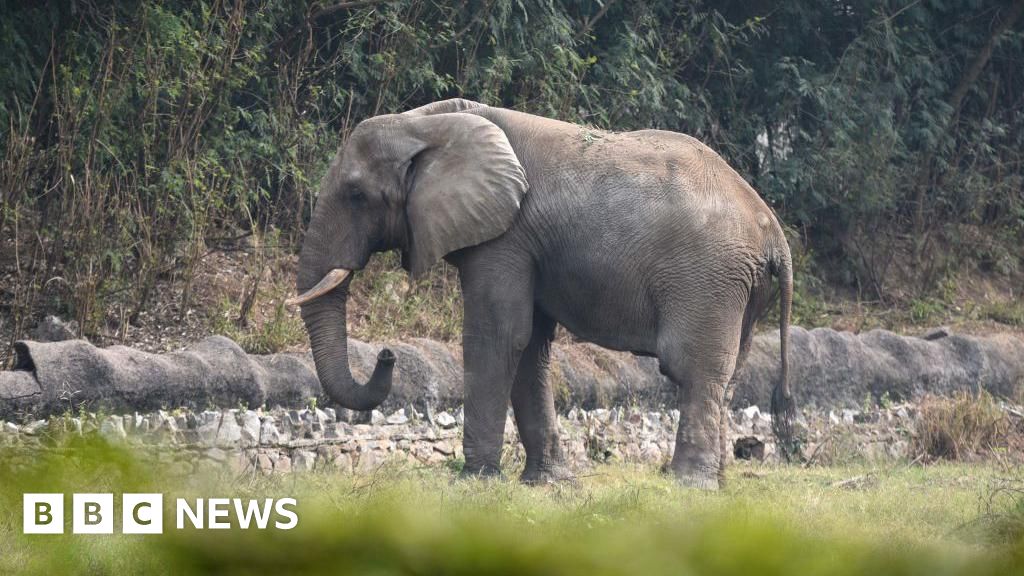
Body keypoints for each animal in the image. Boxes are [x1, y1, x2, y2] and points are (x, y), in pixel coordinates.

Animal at [287, 98, 794, 490]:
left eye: (356, 195)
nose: (387, 354)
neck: (428, 121)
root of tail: (774, 232)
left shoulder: (506, 237)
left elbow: (497, 336)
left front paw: (475, 481)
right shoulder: (526, 243)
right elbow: (530, 345)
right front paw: (546, 483)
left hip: (709, 278)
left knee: (693, 370)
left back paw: (688, 485)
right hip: (739, 288)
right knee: (729, 376)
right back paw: (716, 483)